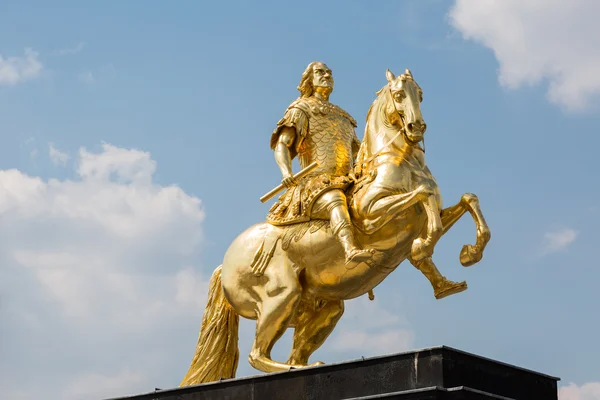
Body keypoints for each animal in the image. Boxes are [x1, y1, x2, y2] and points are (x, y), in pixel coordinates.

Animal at [180, 68, 490, 384]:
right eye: (399, 94)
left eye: (421, 94)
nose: (417, 127)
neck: (399, 162)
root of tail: (224, 264)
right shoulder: (371, 216)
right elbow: (424, 201)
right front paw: (423, 247)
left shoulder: (429, 214)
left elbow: (467, 200)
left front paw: (467, 256)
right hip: (281, 296)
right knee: (258, 355)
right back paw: (298, 369)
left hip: (324, 308)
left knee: (292, 352)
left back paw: (309, 366)